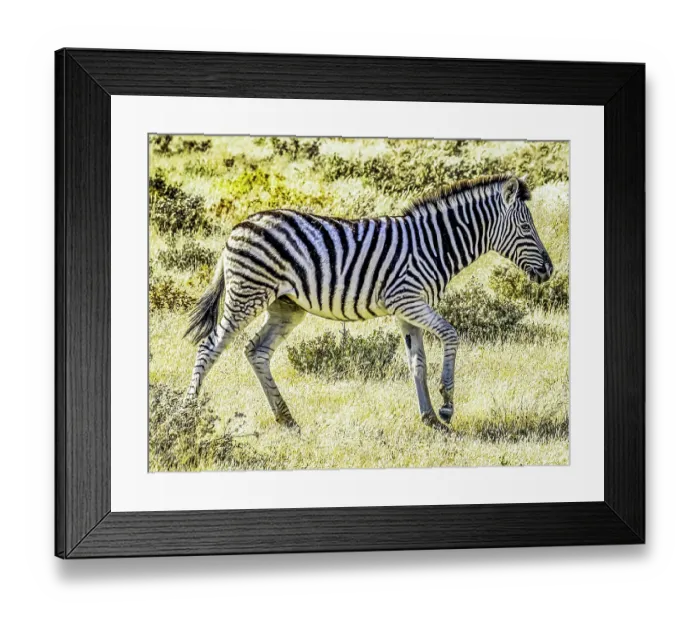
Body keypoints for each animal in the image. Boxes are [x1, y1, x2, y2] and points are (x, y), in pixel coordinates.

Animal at [184, 174, 553, 430]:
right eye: (526, 227)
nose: (549, 270)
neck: (435, 244)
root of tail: (237, 227)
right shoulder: (406, 299)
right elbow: (451, 334)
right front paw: (447, 406)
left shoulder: (407, 310)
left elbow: (417, 363)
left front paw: (429, 418)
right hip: (247, 295)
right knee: (209, 347)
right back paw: (185, 415)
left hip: (286, 306)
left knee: (256, 351)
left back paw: (286, 418)